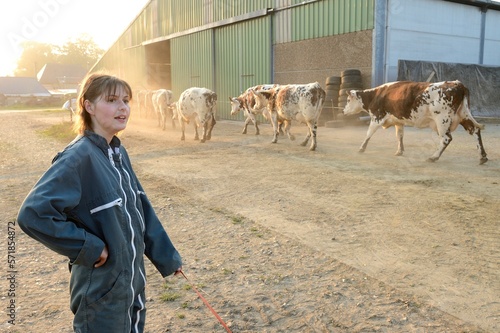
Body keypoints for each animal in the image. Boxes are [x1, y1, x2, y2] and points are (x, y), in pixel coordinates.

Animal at [342, 80, 486, 163]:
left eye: (348, 100)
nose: (343, 111)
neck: (376, 95)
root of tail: (458, 84)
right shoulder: (399, 121)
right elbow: (399, 136)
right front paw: (400, 151)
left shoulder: (376, 118)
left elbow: (368, 134)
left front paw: (361, 148)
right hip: (463, 115)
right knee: (475, 131)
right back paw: (483, 156)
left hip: (442, 120)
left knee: (446, 139)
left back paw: (434, 157)